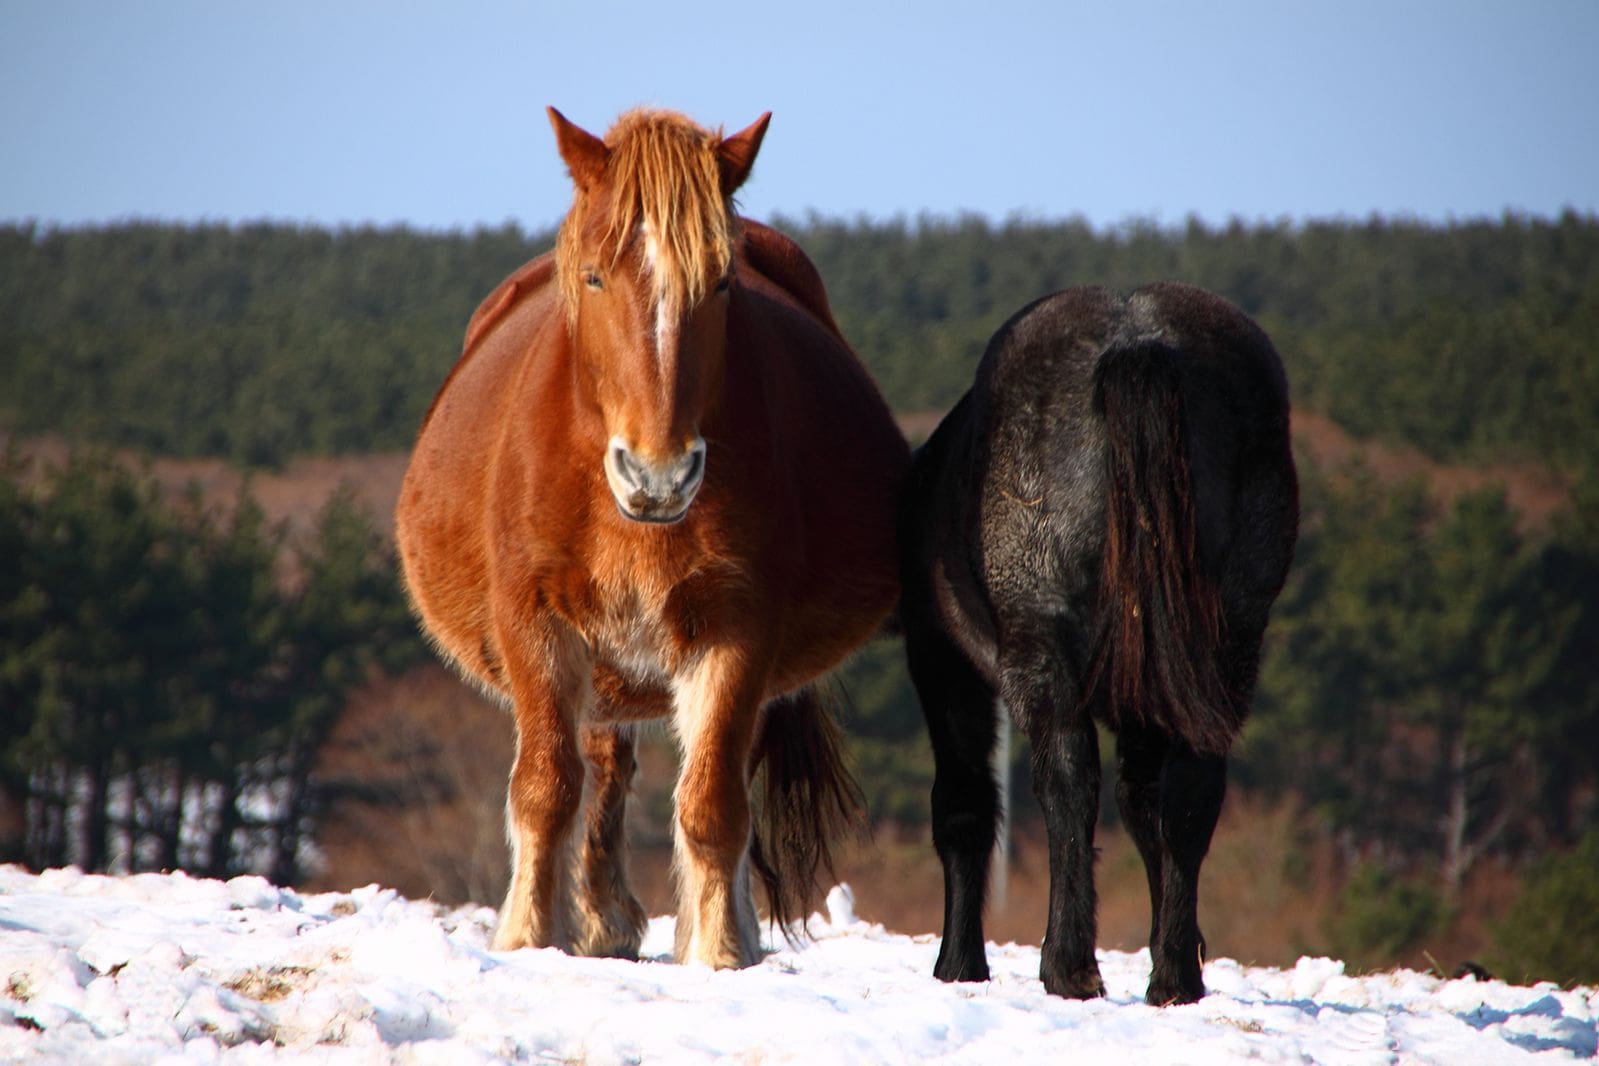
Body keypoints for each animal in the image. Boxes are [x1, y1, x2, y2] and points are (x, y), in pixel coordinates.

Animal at [394, 108, 908, 965]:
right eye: (596, 277)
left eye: (722, 283)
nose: (657, 474)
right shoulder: (533, 620)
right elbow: (546, 786)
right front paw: (528, 935)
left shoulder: (737, 628)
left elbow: (711, 801)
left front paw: (719, 951)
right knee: (601, 760)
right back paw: (599, 919)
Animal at [901, 279, 1298, 1003]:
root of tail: (1136, 344)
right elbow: (1146, 806)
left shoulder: (941, 659)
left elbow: (965, 806)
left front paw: (959, 963)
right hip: (1224, 644)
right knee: (1189, 787)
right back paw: (1175, 972)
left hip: (1039, 642)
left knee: (1066, 776)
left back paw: (1068, 964)